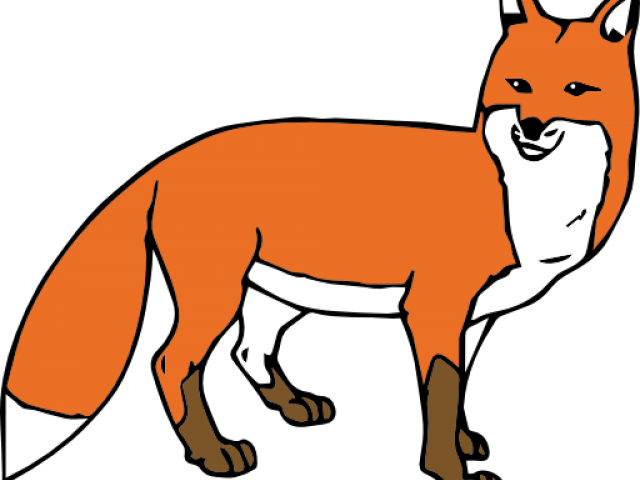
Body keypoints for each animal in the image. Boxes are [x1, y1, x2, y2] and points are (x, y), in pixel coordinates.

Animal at [6, 0, 634, 477]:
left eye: (576, 89)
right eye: (519, 85)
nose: (530, 126)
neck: (528, 200)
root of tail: (173, 158)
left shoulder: (474, 317)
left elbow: (457, 389)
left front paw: (461, 447)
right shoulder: (435, 307)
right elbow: (442, 392)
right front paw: (446, 470)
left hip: (275, 295)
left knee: (249, 350)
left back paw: (289, 404)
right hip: (217, 293)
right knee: (172, 363)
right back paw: (213, 453)